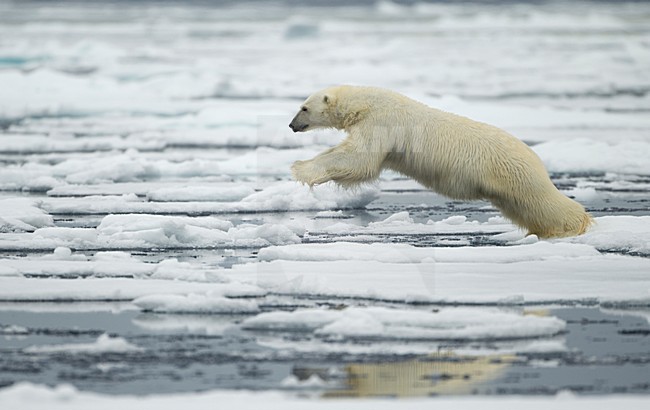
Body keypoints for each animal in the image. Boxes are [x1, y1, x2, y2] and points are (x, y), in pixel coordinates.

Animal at [289, 85, 592, 239]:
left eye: (304, 107)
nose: (292, 125)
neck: (366, 103)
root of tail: (535, 157)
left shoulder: (381, 123)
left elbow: (359, 158)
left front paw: (300, 169)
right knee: (523, 207)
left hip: (512, 171)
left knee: (541, 200)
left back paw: (575, 224)